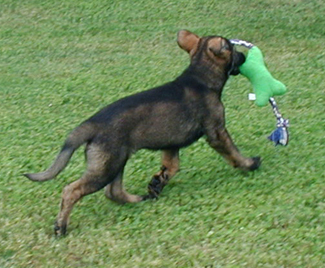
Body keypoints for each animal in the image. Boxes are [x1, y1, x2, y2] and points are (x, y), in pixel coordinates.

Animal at [24, 29, 260, 234]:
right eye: (232, 49)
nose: (244, 56)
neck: (201, 76)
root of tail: (93, 123)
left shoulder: (171, 144)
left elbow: (171, 167)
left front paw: (157, 183)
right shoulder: (217, 132)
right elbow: (233, 152)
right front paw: (249, 164)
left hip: (116, 161)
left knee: (113, 191)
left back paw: (138, 199)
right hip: (106, 167)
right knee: (72, 190)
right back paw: (60, 226)